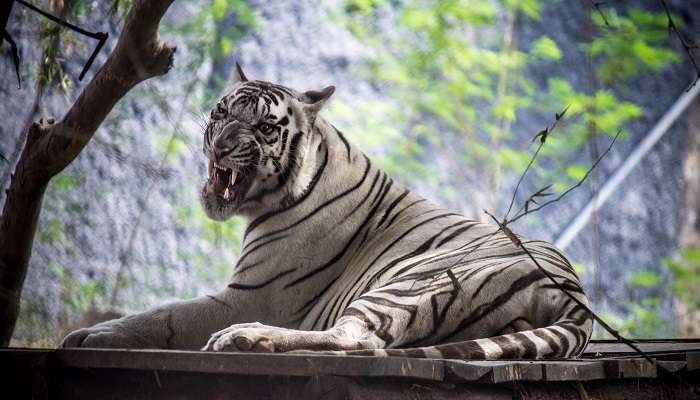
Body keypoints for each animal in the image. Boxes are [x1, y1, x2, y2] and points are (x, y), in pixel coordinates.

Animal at [64, 64, 592, 360]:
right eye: (221, 112)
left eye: (263, 127)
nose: (221, 144)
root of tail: (577, 296)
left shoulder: (251, 296)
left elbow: (164, 315)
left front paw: (89, 335)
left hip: (414, 281)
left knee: (361, 340)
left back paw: (245, 339)